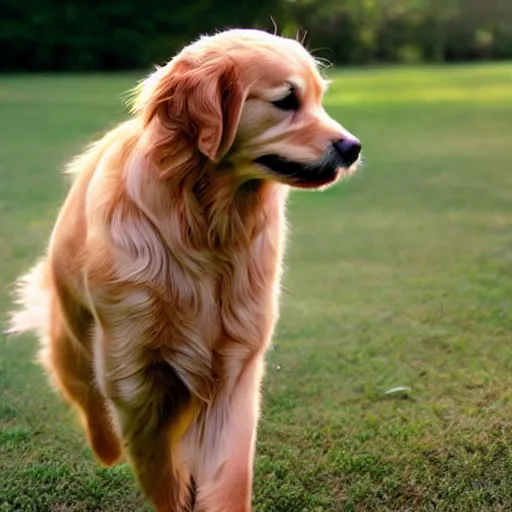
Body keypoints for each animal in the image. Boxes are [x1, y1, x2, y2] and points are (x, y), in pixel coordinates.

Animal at [7, 29, 360, 512]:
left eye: (319, 98)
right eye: (287, 100)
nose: (353, 148)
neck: (205, 227)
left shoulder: (234, 365)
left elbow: (229, 471)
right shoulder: (134, 377)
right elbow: (158, 466)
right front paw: (172, 487)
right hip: (74, 340)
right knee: (85, 398)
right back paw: (106, 446)